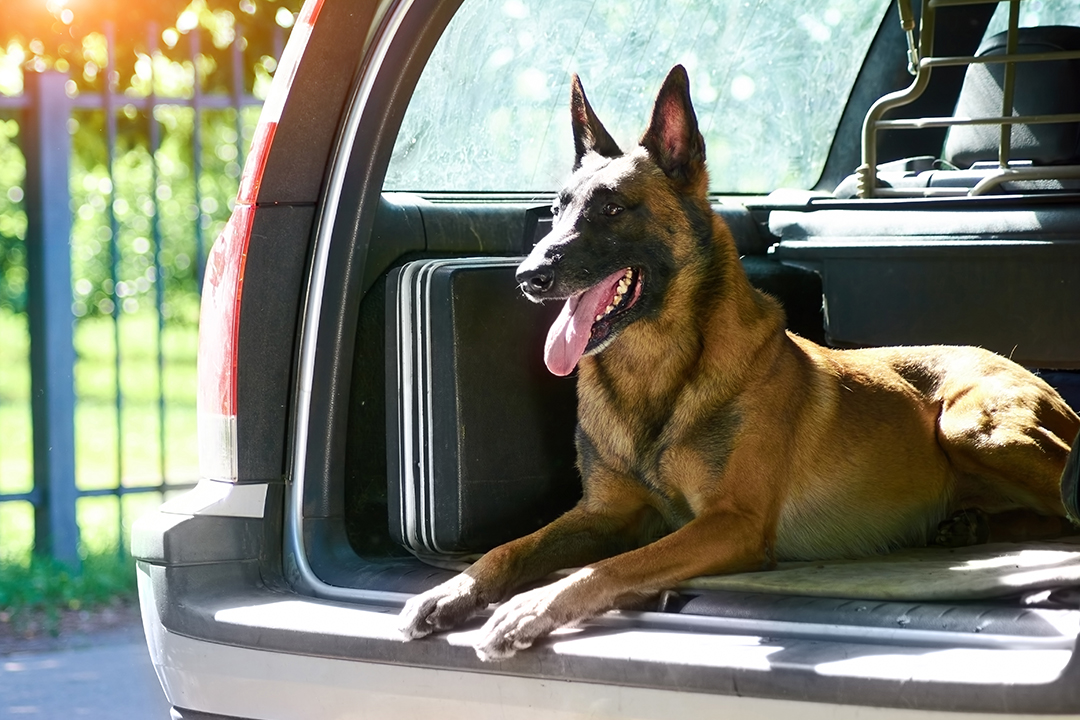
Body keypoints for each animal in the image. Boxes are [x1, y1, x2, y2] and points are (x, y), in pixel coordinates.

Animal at [399, 64, 1080, 660]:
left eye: (613, 208)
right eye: (558, 209)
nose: (529, 276)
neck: (656, 373)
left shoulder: (730, 524)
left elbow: (611, 565)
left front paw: (530, 608)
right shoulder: (603, 513)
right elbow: (510, 549)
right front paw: (452, 590)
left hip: (970, 427)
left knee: (1061, 508)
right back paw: (969, 527)